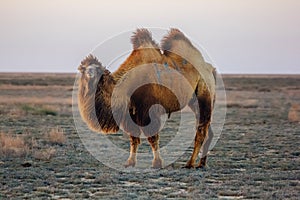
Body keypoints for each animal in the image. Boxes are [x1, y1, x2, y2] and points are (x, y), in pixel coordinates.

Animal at [77, 28, 216, 169]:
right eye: (84, 69)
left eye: (97, 69)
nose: (89, 73)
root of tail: (210, 69)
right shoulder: (131, 112)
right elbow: (134, 138)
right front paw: (130, 162)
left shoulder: (148, 109)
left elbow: (152, 137)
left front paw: (157, 163)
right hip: (195, 101)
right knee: (207, 130)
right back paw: (202, 163)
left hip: (204, 94)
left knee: (201, 130)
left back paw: (190, 163)